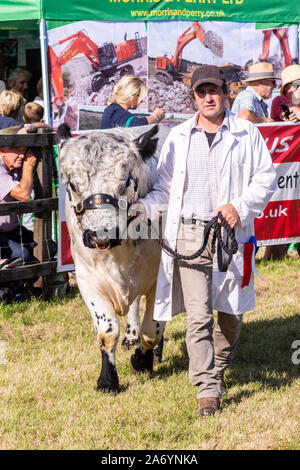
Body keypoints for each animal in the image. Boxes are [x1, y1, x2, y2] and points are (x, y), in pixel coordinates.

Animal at [56, 122, 166, 392]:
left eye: (125, 180)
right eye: (72, 184)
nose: (100, 235)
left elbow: (153, 328)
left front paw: (142, 360)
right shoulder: (87, 279)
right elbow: (107, 330)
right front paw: (107, 379)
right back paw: (131, 335)